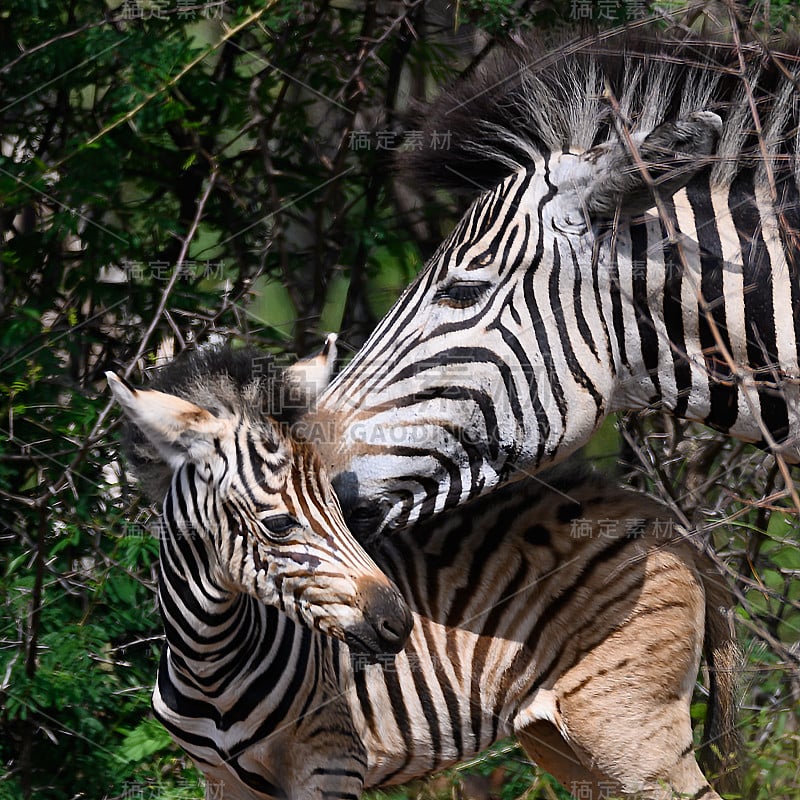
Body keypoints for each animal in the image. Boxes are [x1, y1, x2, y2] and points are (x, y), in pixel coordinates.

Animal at [108, 342, 412, 800]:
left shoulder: (332, 764)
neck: (211, 671)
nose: (400, 623)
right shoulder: (219, 779)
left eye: (339, 508)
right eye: (279, 524)